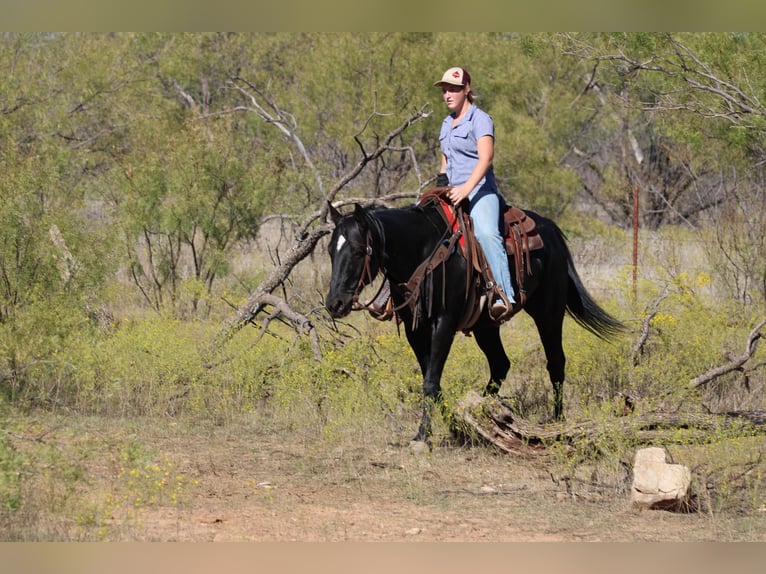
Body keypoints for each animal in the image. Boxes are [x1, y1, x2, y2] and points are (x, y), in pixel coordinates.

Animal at [324, 199, 624, 446]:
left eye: (357, 251)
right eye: (330, 251)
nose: (334, 304)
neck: (424, 252)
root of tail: (550, 229)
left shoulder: (444, 323)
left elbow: (431, 381)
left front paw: (423, 436)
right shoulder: (414, 328)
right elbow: (430, 378)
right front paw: (453, 424)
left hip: (548, 313)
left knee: (555, 363)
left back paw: (557, 424)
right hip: (486, 326)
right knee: (501, 364)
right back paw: (486, 415)